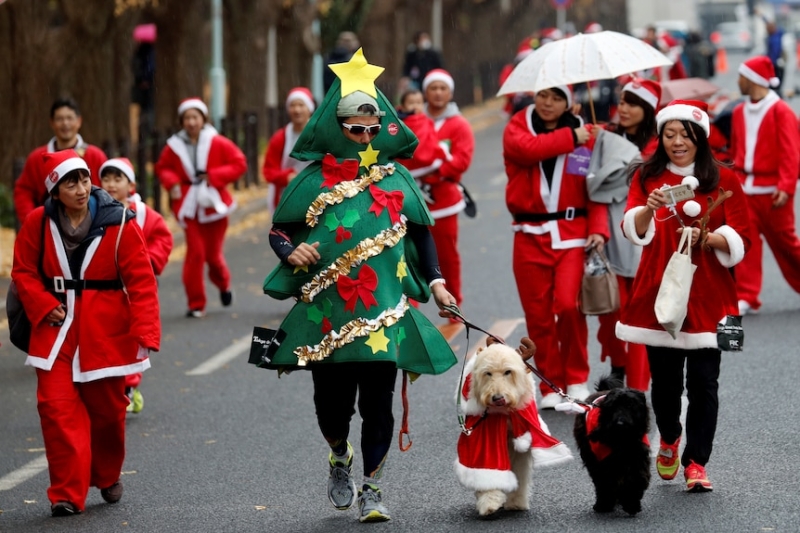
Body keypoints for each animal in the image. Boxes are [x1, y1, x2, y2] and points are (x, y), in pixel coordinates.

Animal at [454, 340, 572, 516]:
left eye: (508, 372)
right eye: (487, 373)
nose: (497, 398)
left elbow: (519, 472)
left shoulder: (519, 445)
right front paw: (489, 502)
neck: (504, 414)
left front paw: (516, 502)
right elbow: (486, 470)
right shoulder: (483, 441)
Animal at [576, 376, 648, 512]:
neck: (618, 440)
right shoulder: (601, 462)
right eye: (613, 407)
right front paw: (604, 504)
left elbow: (634, 479)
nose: (620, 423)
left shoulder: (636, 457)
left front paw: (631, 502)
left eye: (630, 405)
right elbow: (604, 483)